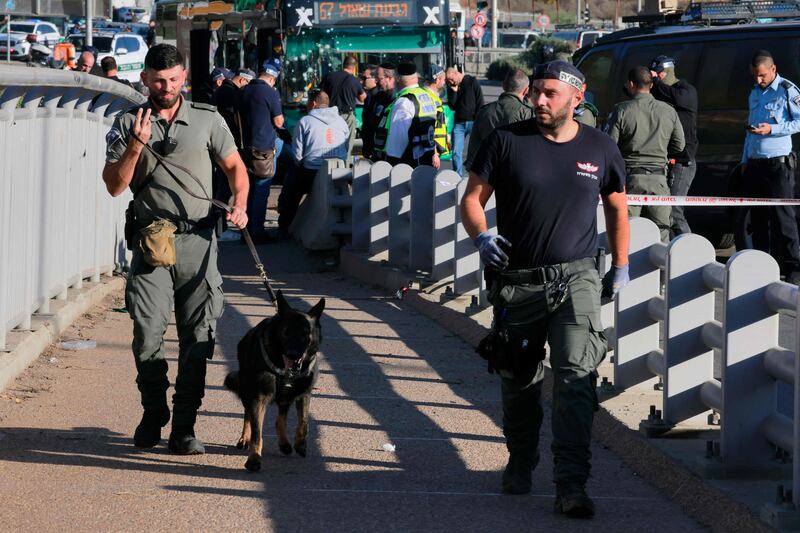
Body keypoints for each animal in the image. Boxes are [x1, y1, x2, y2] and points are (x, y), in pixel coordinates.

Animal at [223, 290, 324, 470]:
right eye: (286, 331)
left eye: (305, 333)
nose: (293, 355)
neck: (286, 371)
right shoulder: (258, 398)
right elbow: (257, 432)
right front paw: (254, 458)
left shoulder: (304, 393)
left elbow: (303, 422)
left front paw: (300, 444)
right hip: (248, 391)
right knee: (248, 416)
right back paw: (244, 438)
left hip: (284, 398)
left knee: (280, 419)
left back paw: (284, 443)